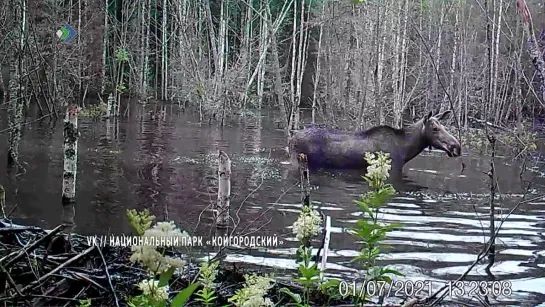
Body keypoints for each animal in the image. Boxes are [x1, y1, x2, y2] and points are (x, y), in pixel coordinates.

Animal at [286, 112, 462, 177]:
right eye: (435, 128)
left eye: (443, 126)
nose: (457, 147)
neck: (405, 149)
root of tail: (291, 138)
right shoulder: (393, 169)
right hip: (298, 162)